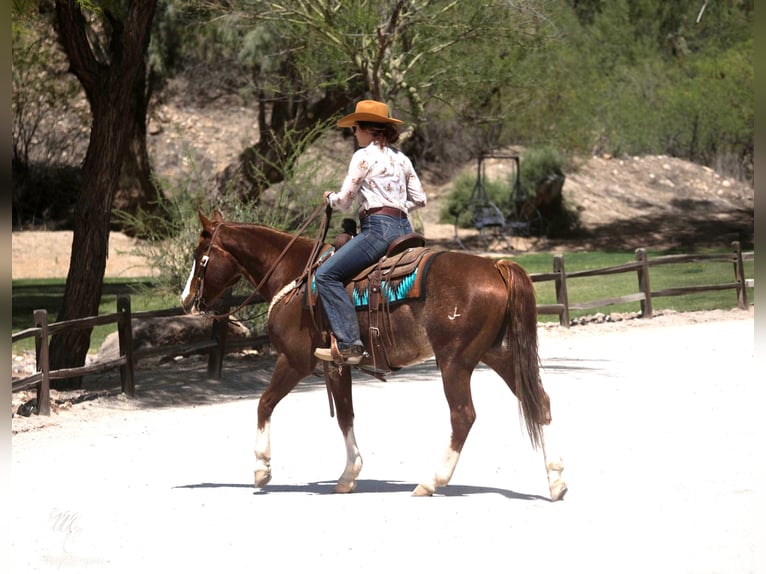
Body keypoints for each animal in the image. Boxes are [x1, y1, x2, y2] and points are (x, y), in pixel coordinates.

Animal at [178, 212, 564, 500]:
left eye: (200, 256)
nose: (185, 300)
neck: (296, 276)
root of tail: (496, 268)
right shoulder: (335, 365)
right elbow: (346, 415)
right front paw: (348, 476)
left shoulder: (294, 361)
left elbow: (265, 403)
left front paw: (261, 469)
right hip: (498, 354)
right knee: (540, 403)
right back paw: (556, 480)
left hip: (454, 361)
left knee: (463, 416)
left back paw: (431, 481)